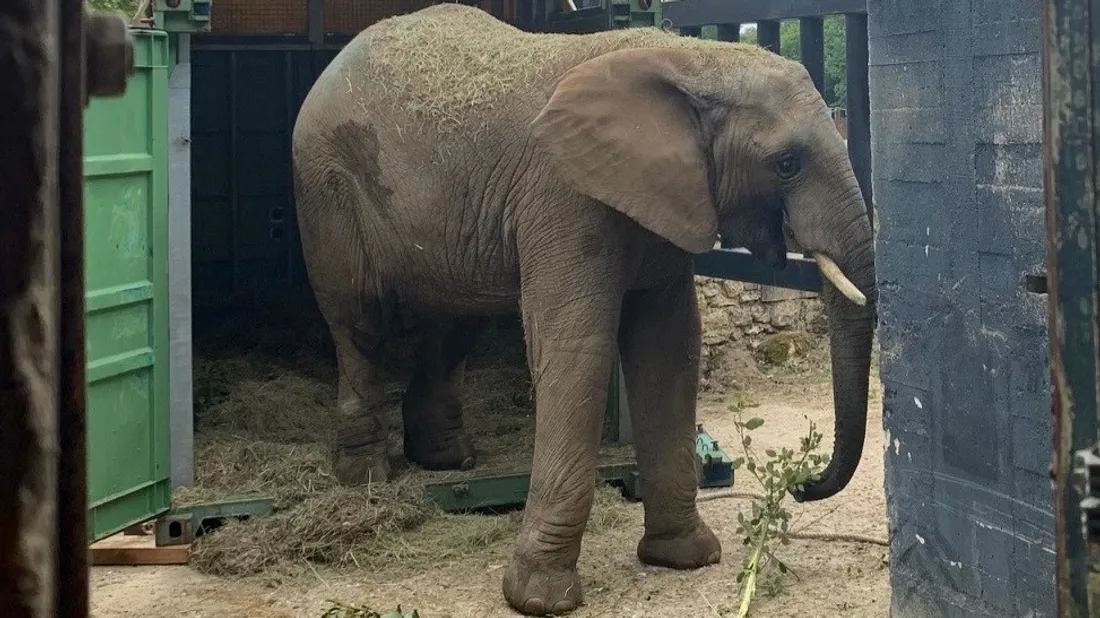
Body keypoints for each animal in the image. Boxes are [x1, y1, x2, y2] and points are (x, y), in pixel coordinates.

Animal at [292, 3, 875, 611]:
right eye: (786, 163)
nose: (803, 485)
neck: (690, 62)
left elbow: (669, 347)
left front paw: (686, 557)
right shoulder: (563, 194)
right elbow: (577, 347)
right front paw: (538, 599)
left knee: (453, 322)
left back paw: (450, 460)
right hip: (327, 186)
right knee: (359, 321)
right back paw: (366, 476)